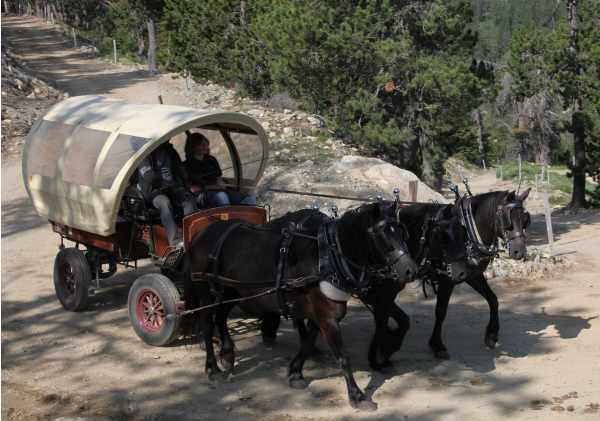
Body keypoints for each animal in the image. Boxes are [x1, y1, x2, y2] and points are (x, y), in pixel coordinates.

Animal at [188, 202, 418, 408]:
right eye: (381, 234)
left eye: (401, 231)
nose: (411, 270)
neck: (326, 256)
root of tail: (203, 233)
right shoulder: (327, 316)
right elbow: (342, 356)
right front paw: (357, 396)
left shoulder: (318, 312)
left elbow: (307, 342)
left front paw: (295, 372)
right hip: (205, 291)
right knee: (207, 324)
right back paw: (212, 368)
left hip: (232, 291)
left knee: (221, 315)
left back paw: (227, 354)